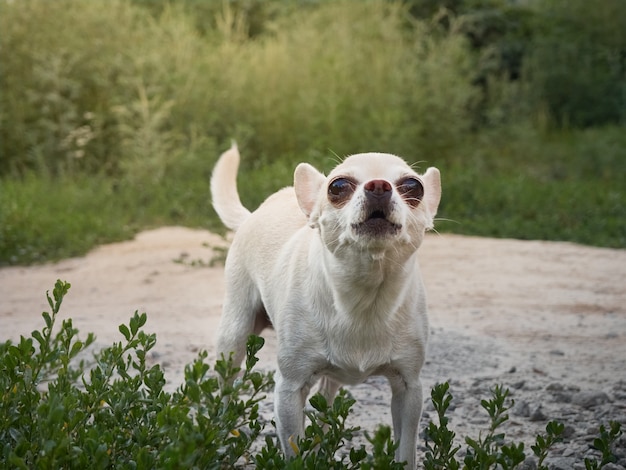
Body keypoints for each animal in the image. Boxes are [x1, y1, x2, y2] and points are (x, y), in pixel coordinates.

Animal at [210, 143, 438, 466]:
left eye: (412, 186)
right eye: (338, 186)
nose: (378, 186)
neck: (365, 296)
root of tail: (253, 214)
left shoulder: (408, 389)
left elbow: (406, 451)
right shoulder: (289, 388)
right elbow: (294, 450)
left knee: (326, 400)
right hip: (234, 337)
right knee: (226, 390)